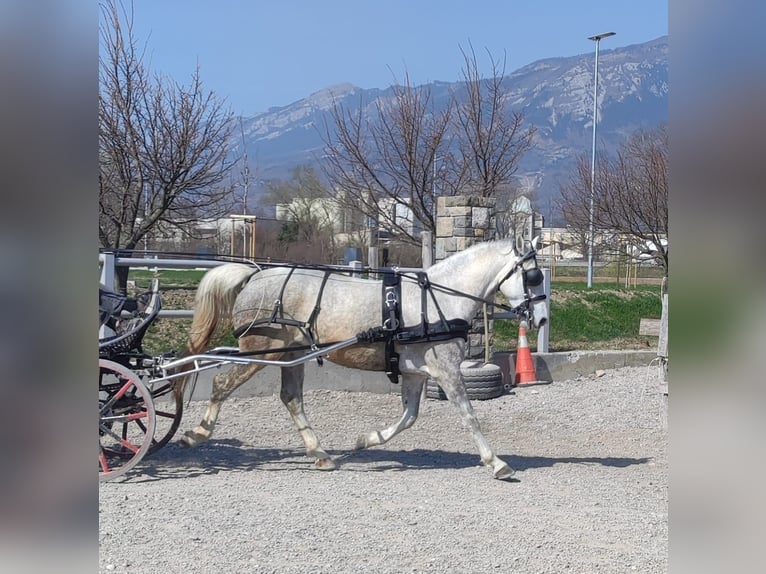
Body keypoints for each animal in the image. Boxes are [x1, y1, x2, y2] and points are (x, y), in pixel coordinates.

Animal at [177, 237, 548, 482]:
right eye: (534, 277)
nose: (542, 319)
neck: (438, 300)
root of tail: (254, 275)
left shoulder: (416, 373)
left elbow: (409, 417)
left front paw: (365, 440)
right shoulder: (446, 371)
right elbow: (469, 416)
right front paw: (496, 463)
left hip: (292, 355)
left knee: (291, 398)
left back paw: (321, 454)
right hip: (263, 351)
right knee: (222, 383)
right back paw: (196, 434)